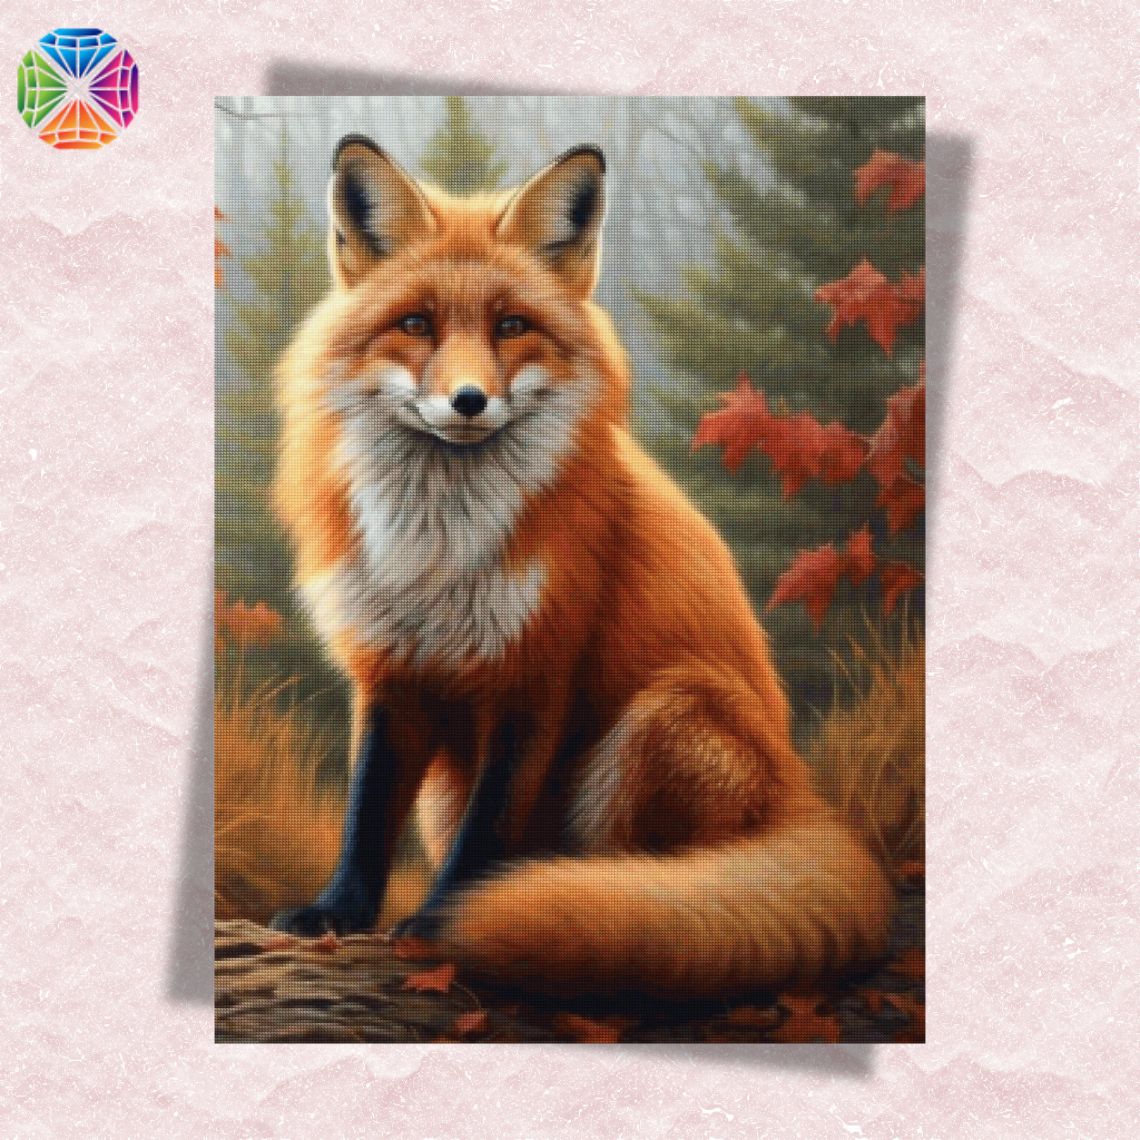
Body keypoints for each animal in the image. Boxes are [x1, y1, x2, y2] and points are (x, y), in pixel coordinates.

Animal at [268, 133, 893, 999]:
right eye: (416, 324)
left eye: (512, 326)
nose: (469, 400)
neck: (438, 553)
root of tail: (809, 803)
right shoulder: (393, 673)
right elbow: (367, 813)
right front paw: (338, 912)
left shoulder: (537, 675)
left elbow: (485, 834)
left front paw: (442, 924)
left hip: (666, 713)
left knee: (649, 889)